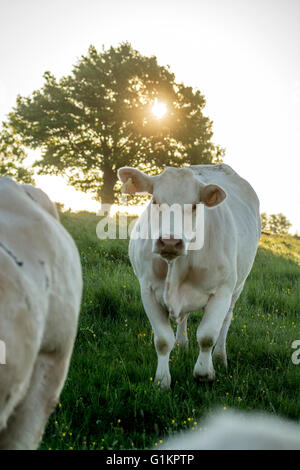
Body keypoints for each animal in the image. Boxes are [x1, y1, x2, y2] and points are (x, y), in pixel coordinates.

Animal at [118, 164, 262, 390]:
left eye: (195, 206)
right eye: (155, 201)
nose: (170, 242)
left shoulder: (222, 291)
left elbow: (207, 336)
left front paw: (204, 373)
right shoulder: (147, 290)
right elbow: (162, 341)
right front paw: (162, 381)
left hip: (237, 287)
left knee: (226, 321)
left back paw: (220, 357)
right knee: (183, 319)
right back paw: (181, 343)